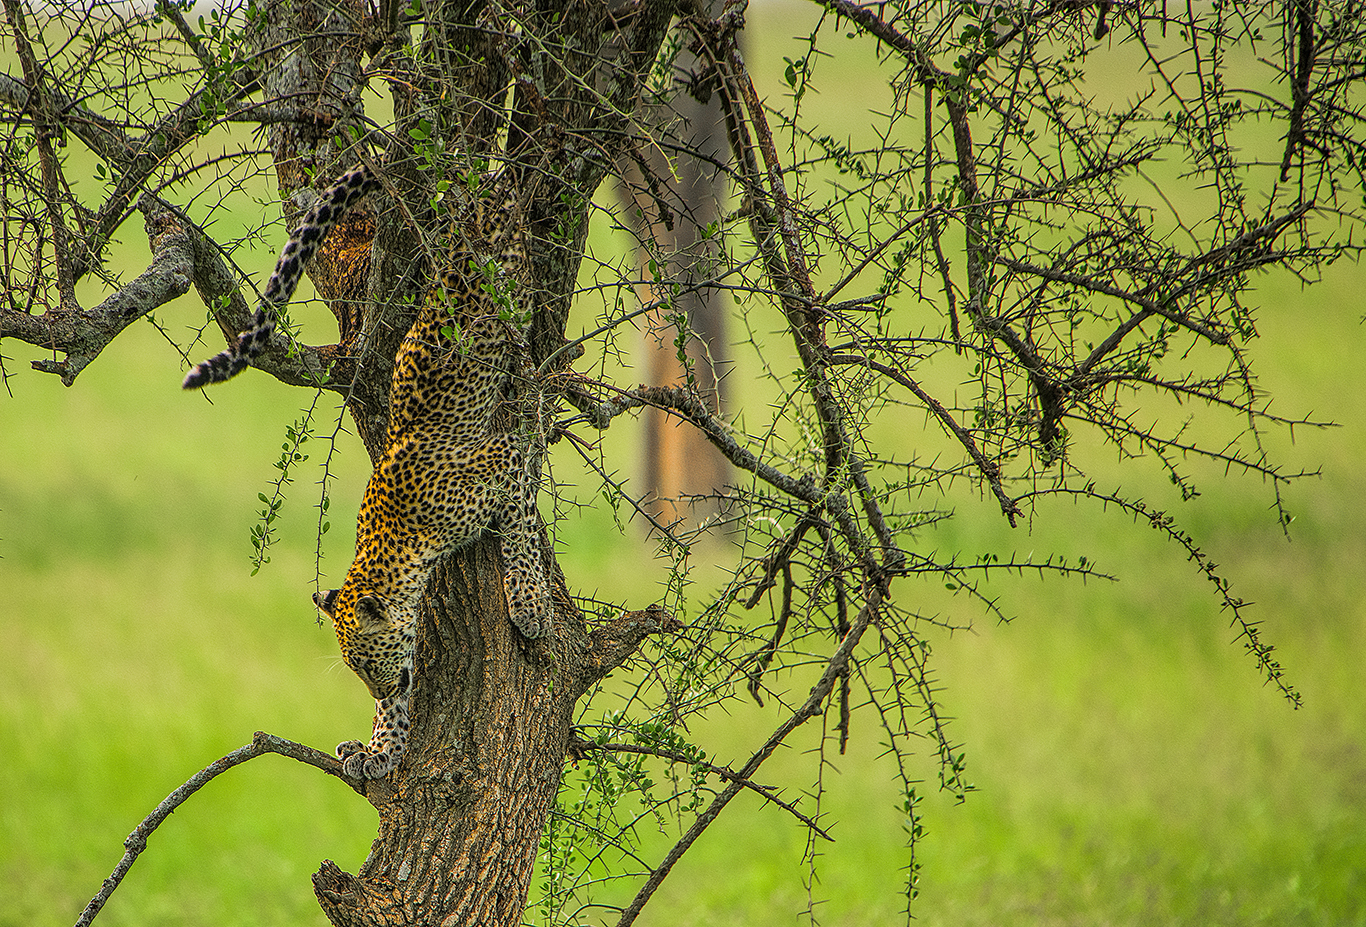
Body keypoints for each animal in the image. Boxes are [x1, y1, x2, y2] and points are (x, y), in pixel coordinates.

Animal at [184, 162, 552, 779]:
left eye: (366, 659)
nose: (379, 689)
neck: (402, 544)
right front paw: (381, 747)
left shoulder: (504, 456)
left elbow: (520, 530)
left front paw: (529, 606)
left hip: (512, 275)